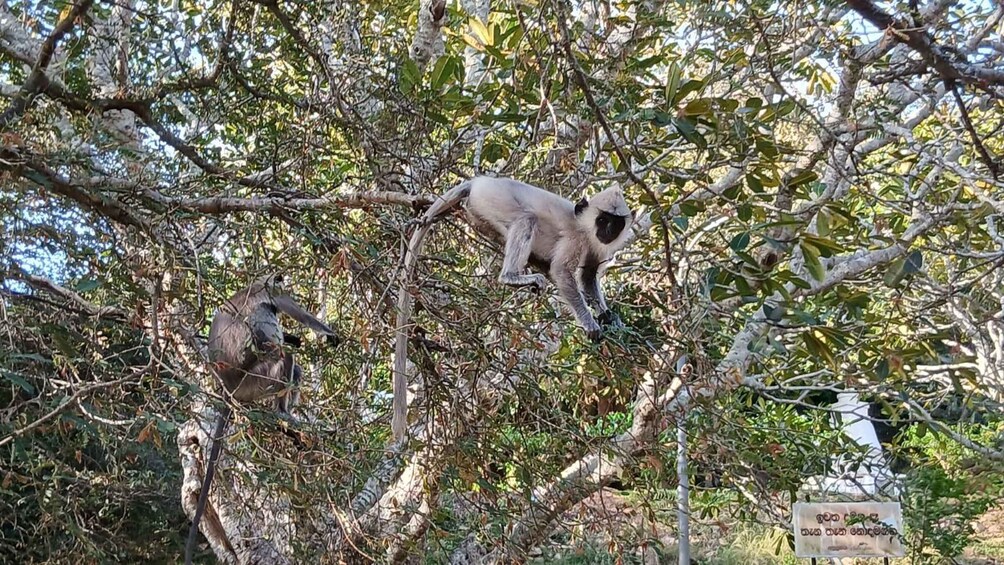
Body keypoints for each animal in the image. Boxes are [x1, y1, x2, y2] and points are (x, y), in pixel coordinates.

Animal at [184, 274, 340, 565]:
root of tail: (228, 387)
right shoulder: (273, 294)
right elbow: (300, 315)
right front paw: (328, 334)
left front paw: (294, 337)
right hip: (256, 379)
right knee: (282, 356)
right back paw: (283, 413)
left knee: (287, 359)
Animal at [391, 176, 635, 440]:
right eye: (602, 220)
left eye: (615, 223)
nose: (607, 231)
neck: (585, 227)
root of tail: (480, 180)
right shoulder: (576, 239)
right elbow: (562, 273)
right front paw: (589, 322)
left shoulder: (594, 247)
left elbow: (589, 277)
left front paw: (608, 317)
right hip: (493, 199)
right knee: (526, 219)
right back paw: (512, 277)